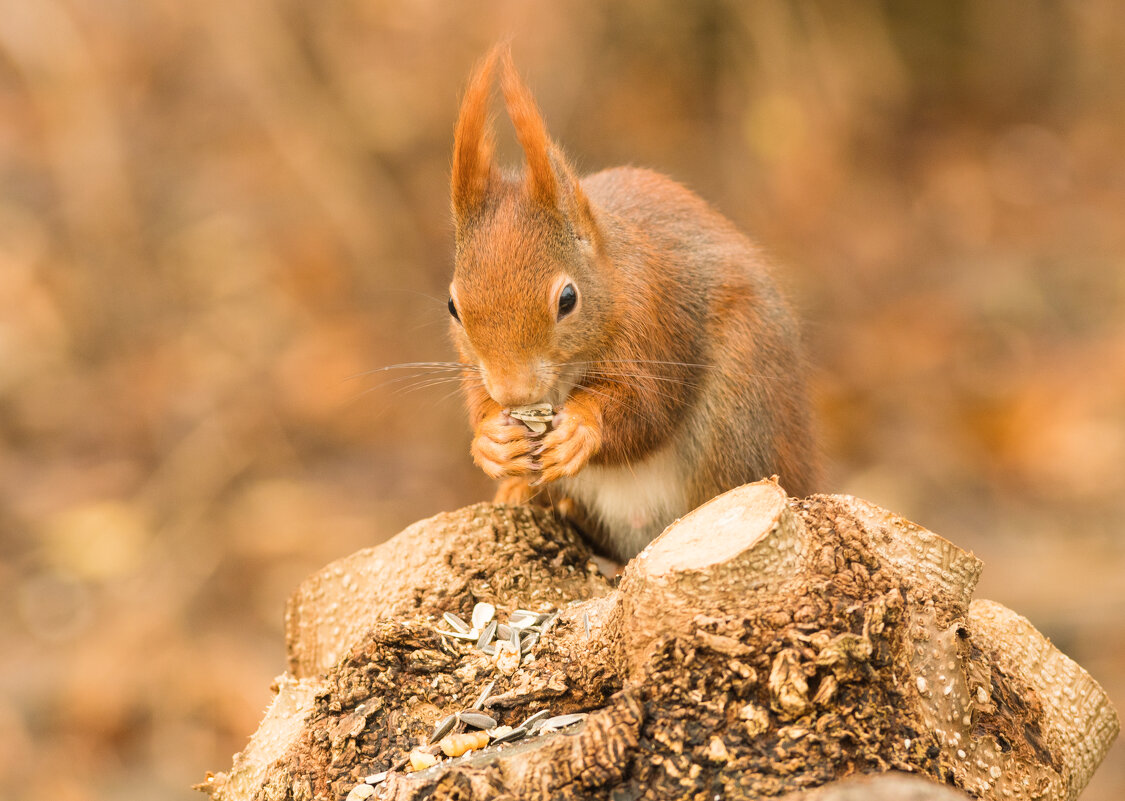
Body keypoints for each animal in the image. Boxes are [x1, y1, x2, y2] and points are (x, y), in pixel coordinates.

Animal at [445, 46, 819, 560]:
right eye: (453, 307)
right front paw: (491, 441)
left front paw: (581, 428)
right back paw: (528, 494)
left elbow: (648, 410)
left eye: (567, 299)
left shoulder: (654, 322)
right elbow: (477, 401)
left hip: (740, 411)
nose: (514, 393)